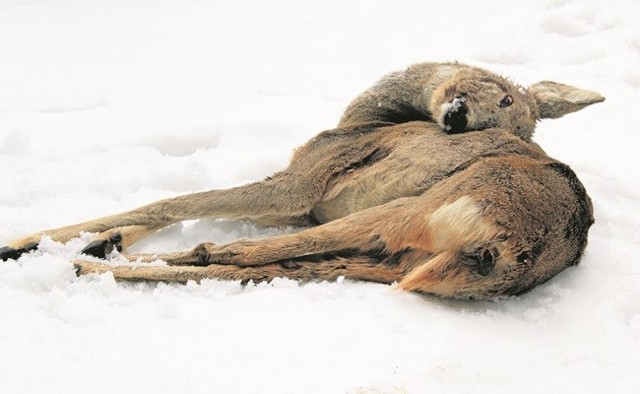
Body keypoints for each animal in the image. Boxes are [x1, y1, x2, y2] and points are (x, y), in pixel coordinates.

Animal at [0, 61, 604, 298]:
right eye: (501, 95)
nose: (456, 119)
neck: (369, 118)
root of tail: (508, 252)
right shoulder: (300, 200)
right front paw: (85, 238)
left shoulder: (303, 182)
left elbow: (173, 202)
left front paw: (27, 239)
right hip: (387, 257)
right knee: (277, 264)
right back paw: (94, 255)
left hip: (417, 206)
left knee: (235, 252)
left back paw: (80, 264)